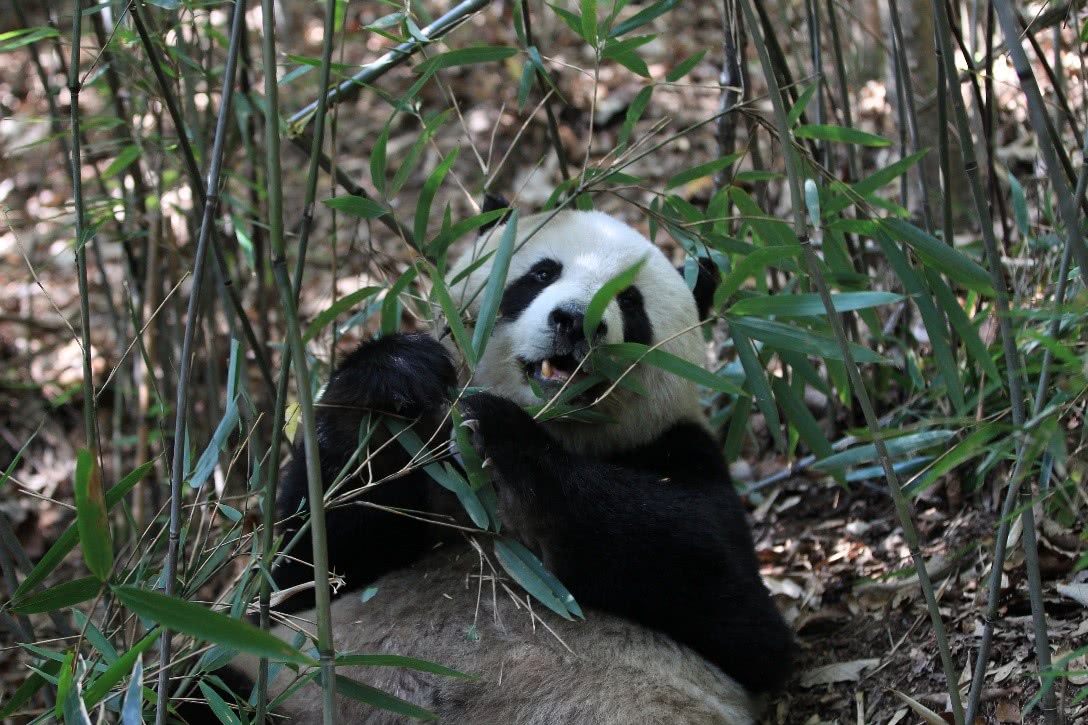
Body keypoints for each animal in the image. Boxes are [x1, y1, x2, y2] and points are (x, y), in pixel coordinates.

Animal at [200, 205, 792, 718]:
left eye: (629, 303)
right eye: (540, 273)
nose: (575, 321)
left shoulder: (679, 449)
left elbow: (738, 607)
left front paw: (504, 434)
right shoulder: (422, 475)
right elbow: (306, 566)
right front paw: (393, 373)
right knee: (208, 685)